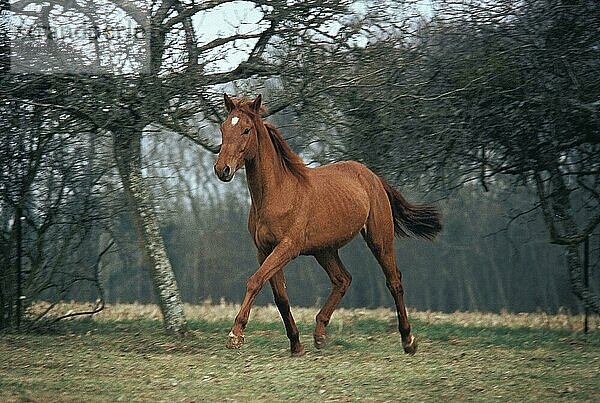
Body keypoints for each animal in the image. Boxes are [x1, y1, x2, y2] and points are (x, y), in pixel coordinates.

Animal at [214, 94, 440, 356]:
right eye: (223, 128)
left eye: (246, 130)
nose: (222, 169)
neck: (277, 193)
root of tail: (372, 176)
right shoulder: (264, 251)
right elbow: (280, 297)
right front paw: (296, 345)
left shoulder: (288, 247)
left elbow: (254, 281)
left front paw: (235, 335)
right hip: (324, 250)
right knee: (343, 279)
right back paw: (320, 334)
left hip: (379, 240)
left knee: (393, 281)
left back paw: (408, 340)